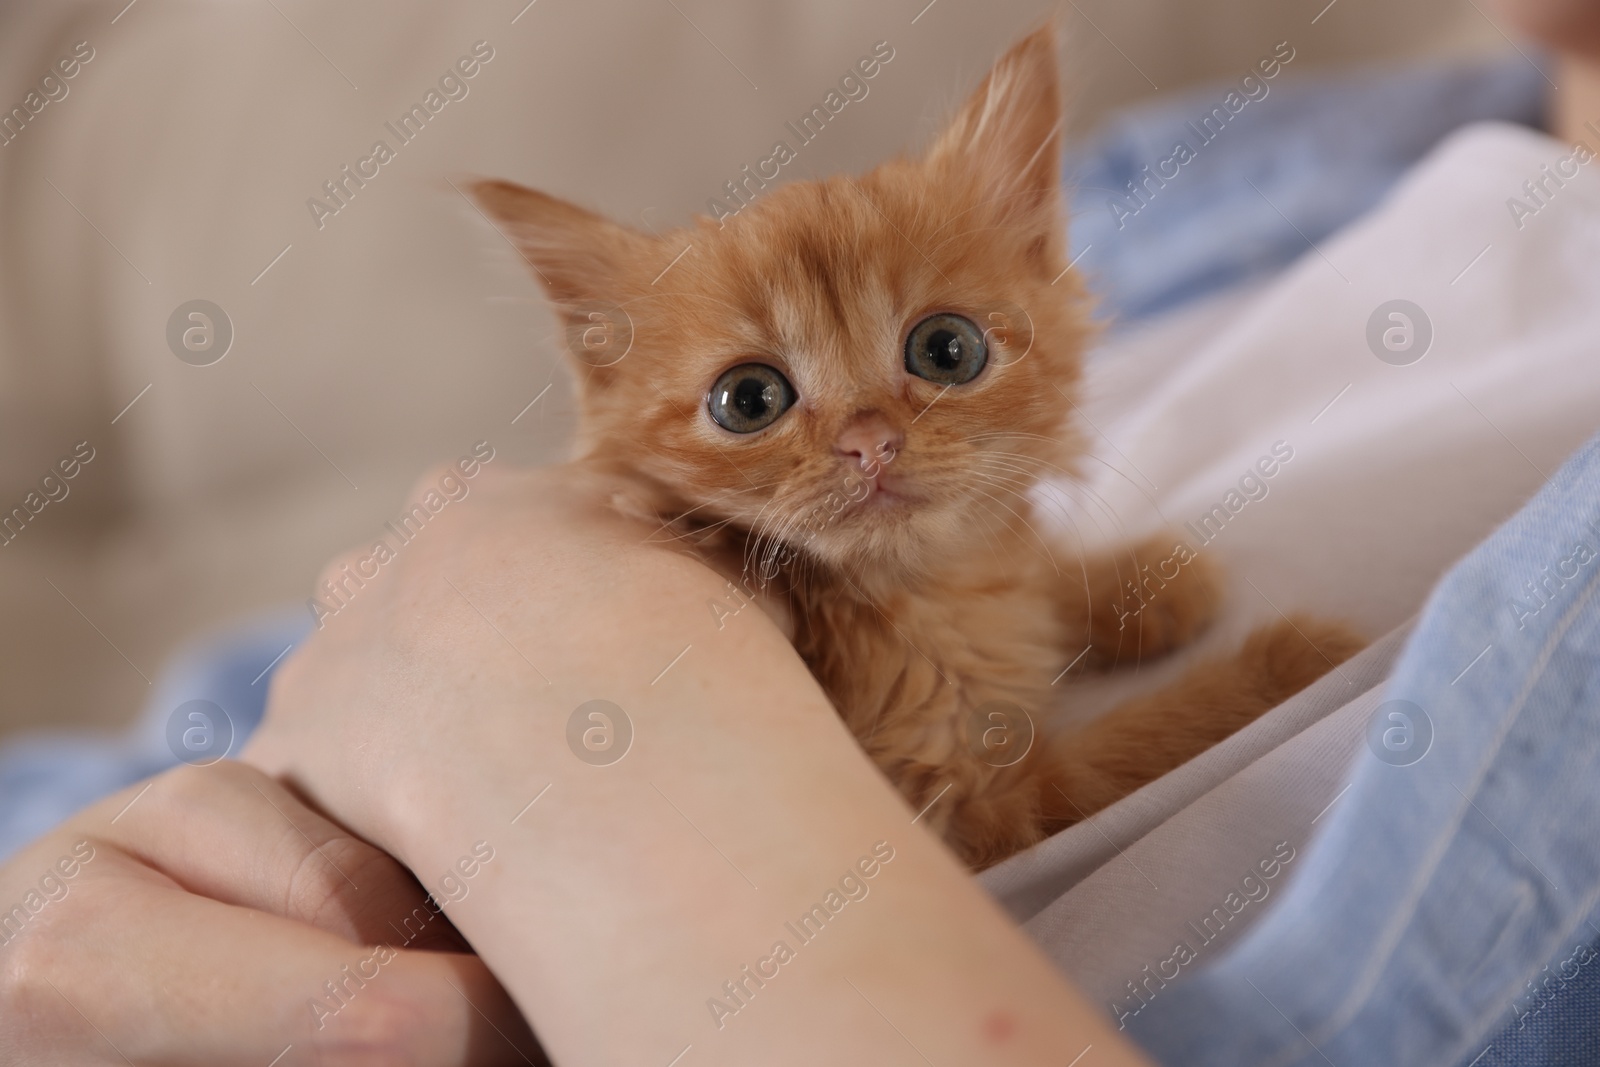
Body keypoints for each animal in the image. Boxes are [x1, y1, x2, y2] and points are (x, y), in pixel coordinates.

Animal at [470, 29, 1363, 870]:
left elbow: (1041, 583)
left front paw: (1146, 584)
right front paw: (1281, 661)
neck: (925, 593)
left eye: (947, 350)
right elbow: (1131, 744)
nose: (870, 441)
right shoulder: (978, 809)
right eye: (748, 400)